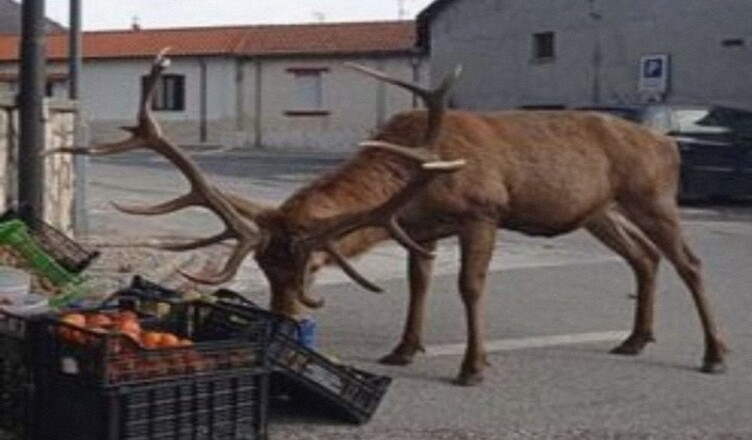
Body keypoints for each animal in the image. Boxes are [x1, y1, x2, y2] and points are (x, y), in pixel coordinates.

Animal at [52, 49, 727, 385]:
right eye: (264, 269)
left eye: (312, 267)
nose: (284, 323)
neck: (419, 177)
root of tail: (664, 144)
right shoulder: (420, 228)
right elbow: (419, 283)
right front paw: (404, 350)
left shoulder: (484, 212)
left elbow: (469, 286)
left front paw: (472, 368)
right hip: (599, 210)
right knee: (644, 259)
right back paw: (635, 339)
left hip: (653, 195)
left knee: (690, 262)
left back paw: (714, 354)